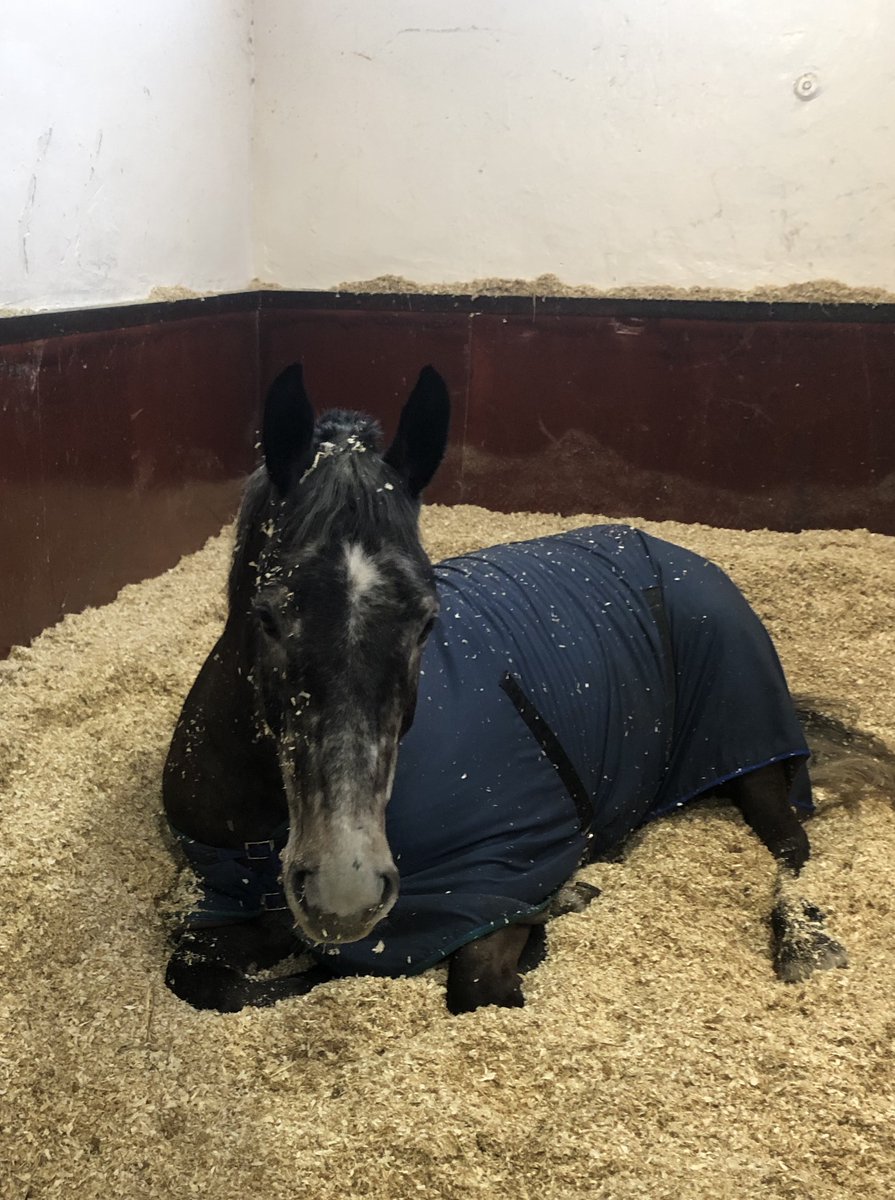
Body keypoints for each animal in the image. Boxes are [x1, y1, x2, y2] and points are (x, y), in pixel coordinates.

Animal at [163, 362, 857, 1014]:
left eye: (428, 620)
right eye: (268, 615)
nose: (345, 892)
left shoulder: (491, 884)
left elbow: (477, 986)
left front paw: (555, 911)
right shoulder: (232, 909)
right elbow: (200, 975)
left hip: (748, 748)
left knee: (790, 846)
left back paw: (802, 941)